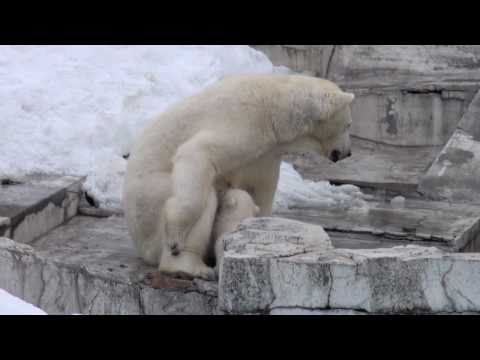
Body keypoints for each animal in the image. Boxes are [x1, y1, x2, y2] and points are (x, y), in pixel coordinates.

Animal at [122, 74, 354, 282]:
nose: (348, 153)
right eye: (348, 125)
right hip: (150, 206)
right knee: (202, 194)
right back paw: (188, 267)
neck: (275, 105)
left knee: (237, 199)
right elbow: (197, 152)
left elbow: (258, 190)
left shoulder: (266, 151)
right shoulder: (245, 122)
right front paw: (176, 235)